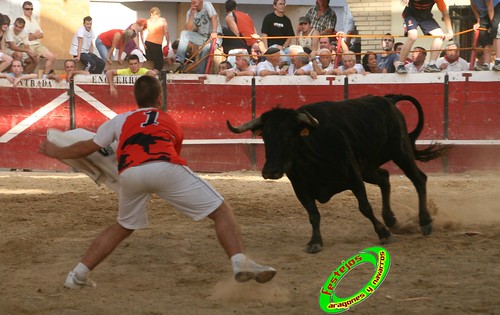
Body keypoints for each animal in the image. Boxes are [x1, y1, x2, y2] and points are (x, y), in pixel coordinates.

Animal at [229, 94, 448, 254]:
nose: (270, 171)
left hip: (400, 151)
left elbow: (365, 207)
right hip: (368, 167)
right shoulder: (300, 187)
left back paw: (425, 222)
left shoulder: (354, 176)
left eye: (289, 136)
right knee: (385, 178)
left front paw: (383, 234)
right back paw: (391, 219)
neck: (311, 156)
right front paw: (315, 241)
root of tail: (388, 99)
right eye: (265, 137)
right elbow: (313, 214)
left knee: (419, 179)